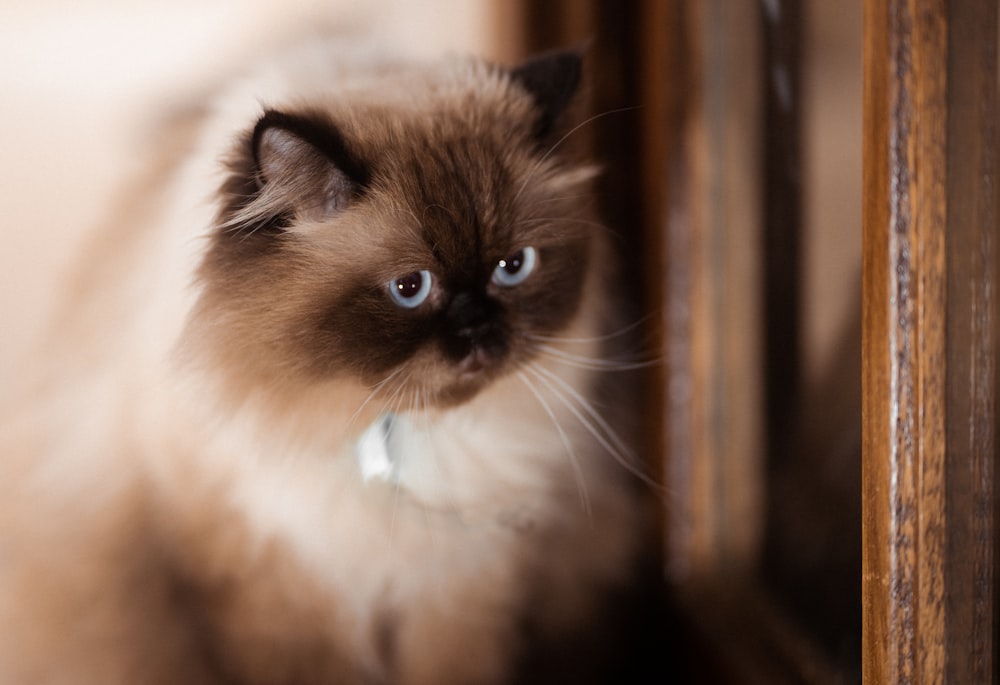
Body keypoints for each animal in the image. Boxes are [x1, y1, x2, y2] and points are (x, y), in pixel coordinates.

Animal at [0, 38, 656, 684]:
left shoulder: (459, 589)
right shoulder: (284, 591)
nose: (481, 333)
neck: (385, 430)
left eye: (513, 267)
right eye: (410, 288)